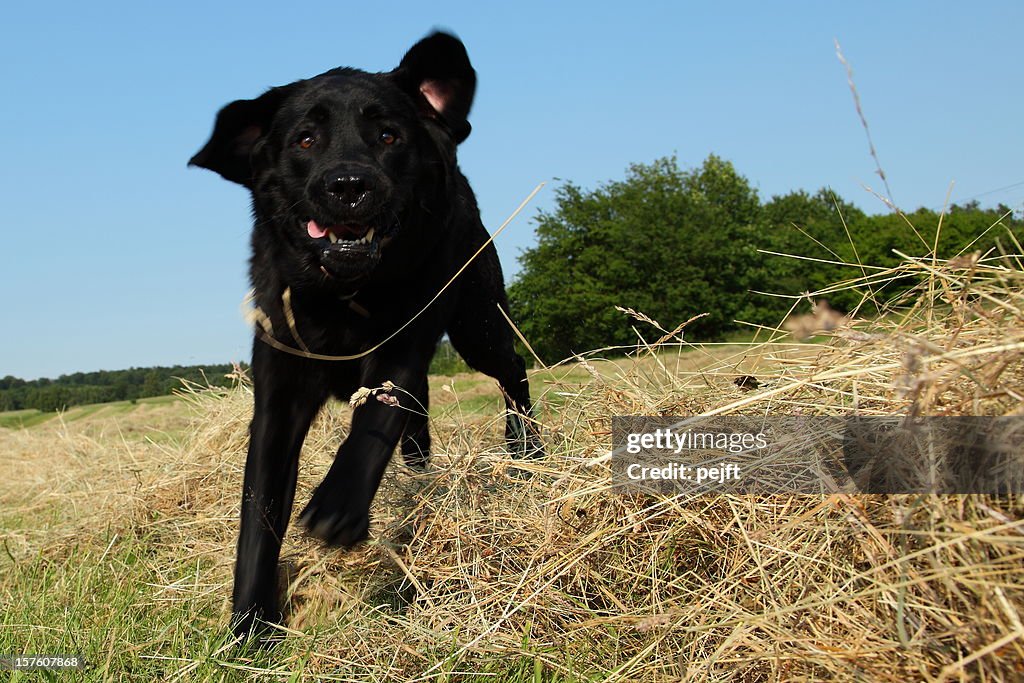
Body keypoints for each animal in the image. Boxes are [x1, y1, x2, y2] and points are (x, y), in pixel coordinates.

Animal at [192, 33, 544, 634]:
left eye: (388, 136)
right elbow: (258, 515)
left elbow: (373, 421)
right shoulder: (278, 392)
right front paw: (251, 624)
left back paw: (526, 450)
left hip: (477, 322)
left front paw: (338, 508)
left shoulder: (403, 343)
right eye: (305, 139)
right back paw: (421, 477)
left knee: (512, 370)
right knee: (421, 420)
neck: (341, 296)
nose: (349, 185)